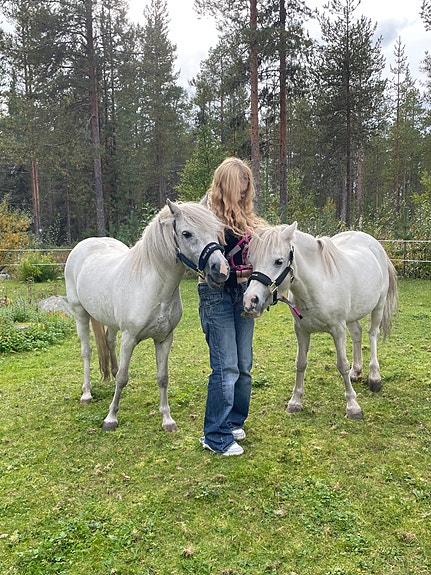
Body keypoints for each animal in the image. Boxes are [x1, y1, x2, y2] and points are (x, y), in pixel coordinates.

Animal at [65, 200, 229, 431]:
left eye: (216, 231)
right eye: (186, 233)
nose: (220, 270)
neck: (153, 288)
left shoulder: (164, 338)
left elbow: (162, 377)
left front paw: (167, 419)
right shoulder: (129, 338)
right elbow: (123, 378)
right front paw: (110, 418)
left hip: (110, 322)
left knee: (109, 343)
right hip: (80, 314)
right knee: (86, 352)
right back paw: (86, 393)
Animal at [243, 222, 398, 419]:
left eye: (278, 261)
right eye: (251, 261)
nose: (250, 301)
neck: (316, 286)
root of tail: (375, 245)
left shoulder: (338, 330)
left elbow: (342, 365)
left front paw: (353, 406)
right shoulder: (301, 330)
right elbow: (300, 363)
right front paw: (295, 402)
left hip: (378, 306)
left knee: (372, 335)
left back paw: (374, 377)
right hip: (352, 316)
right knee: (357, 334)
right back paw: (356, 371)